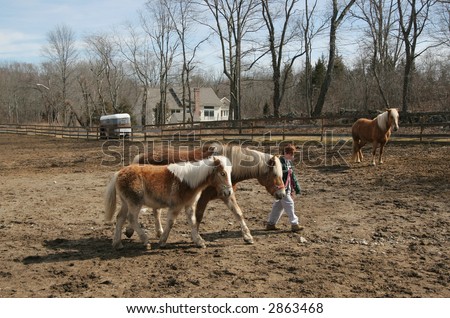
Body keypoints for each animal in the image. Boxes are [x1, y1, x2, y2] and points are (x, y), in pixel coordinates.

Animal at [104, 155, 234, 250]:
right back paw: (146, 241)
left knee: (120, 218)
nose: (229, 192)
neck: (188, 182)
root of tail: (119, 173)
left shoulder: (189, 205)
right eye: (223, 173)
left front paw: (199, 241)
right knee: (131, 218)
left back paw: (117, 244)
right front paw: (162, 241)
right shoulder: (176, 206)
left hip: (126, 203)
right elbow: (171, 222)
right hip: (134, 203)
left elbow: (192, 222)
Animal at [131, 143, 284, 245]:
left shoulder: (226, 194)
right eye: (275, 174)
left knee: (155, 211)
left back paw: (157, 232)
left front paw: (247, 236)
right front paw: (195, 237)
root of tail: (143, 156)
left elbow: (238, 213)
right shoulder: (202, 198)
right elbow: (198, 217)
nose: (282, 194)